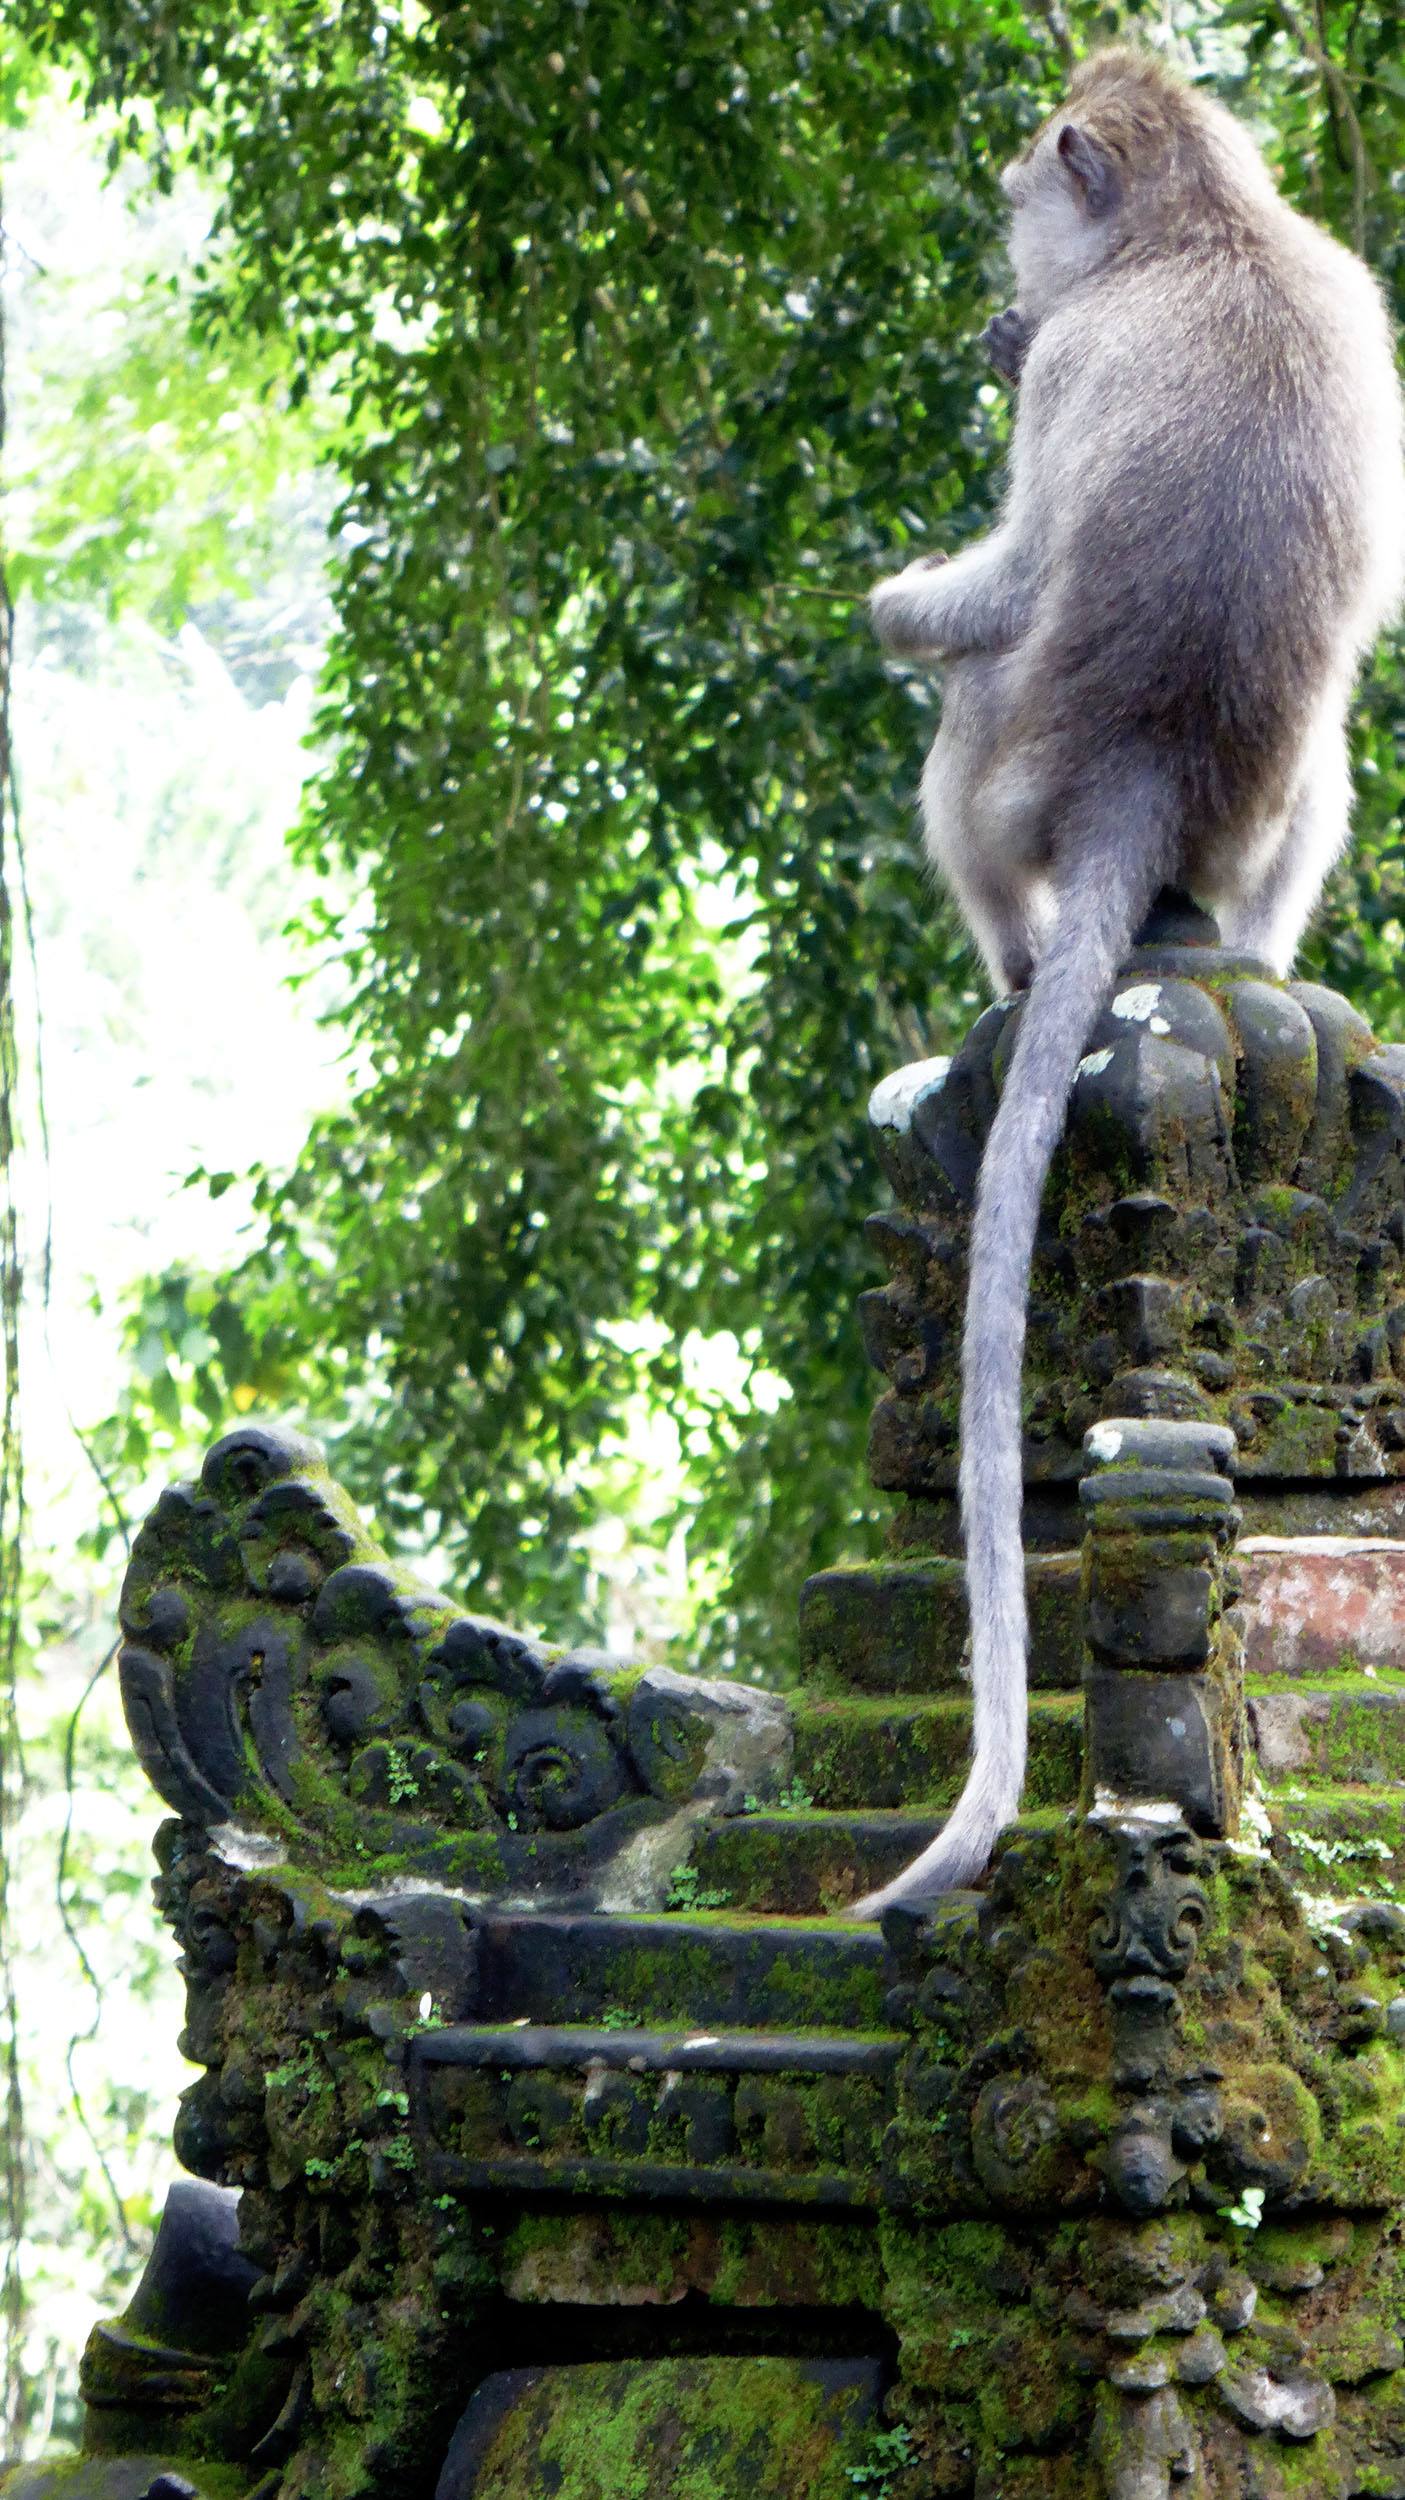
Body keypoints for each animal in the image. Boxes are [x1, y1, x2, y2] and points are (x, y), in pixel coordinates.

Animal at [850, 44, 1400, 1910]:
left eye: (1028, 194)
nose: (1009, 279)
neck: (1209, 223)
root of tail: (1131, 796)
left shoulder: (1078, 362)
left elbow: (1004, 577)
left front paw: (894, 597)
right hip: (1246, 826)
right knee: (1327, 753)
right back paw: (1243, 947)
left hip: (1010, 777)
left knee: (975, 693)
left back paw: (1022, 959)